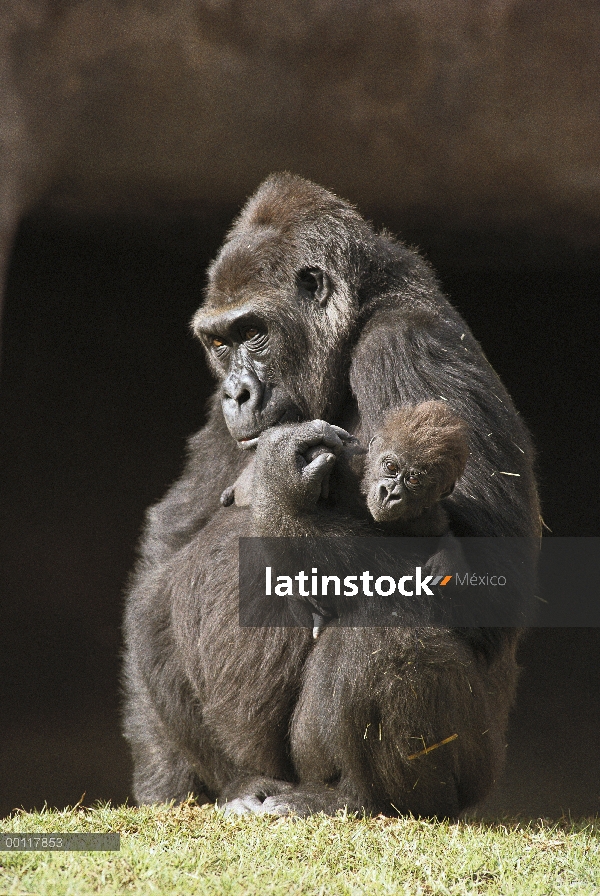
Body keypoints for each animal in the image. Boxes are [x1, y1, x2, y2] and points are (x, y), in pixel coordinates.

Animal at [122, 170, 540, 820]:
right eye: (219, 344)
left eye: (253, 333)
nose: (237, 394)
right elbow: (167, 548)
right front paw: (162, 777)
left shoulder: (406, 344)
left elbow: (481, 581)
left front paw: (279, 489)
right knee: (156, 604)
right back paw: (240, 784)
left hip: (472, 773)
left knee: (382, 634)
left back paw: (350, 797)